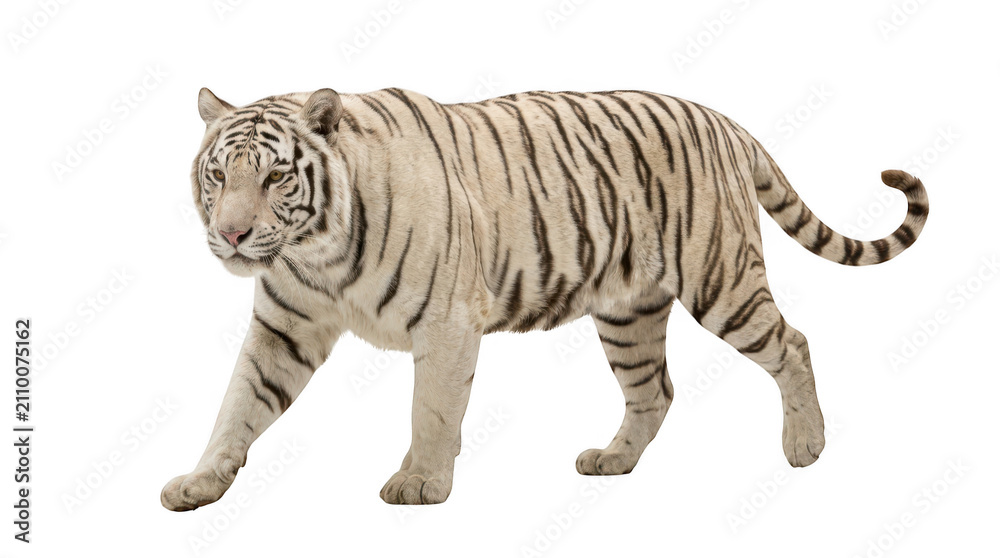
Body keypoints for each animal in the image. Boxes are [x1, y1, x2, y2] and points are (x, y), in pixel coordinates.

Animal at [161, 86, 928, 510]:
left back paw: (806, 445)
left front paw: (420, 484)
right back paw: (613, 460)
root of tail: (724, 120)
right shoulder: (284, 328)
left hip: (722, 279)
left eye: (274, 177)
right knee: (655, 391)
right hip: (627, 313)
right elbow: (237, 406)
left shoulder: (446, 322)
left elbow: (432, 411)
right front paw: (199, 483)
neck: (316, 251)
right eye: (217, 174)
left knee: (793, 343)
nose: (231, 234)